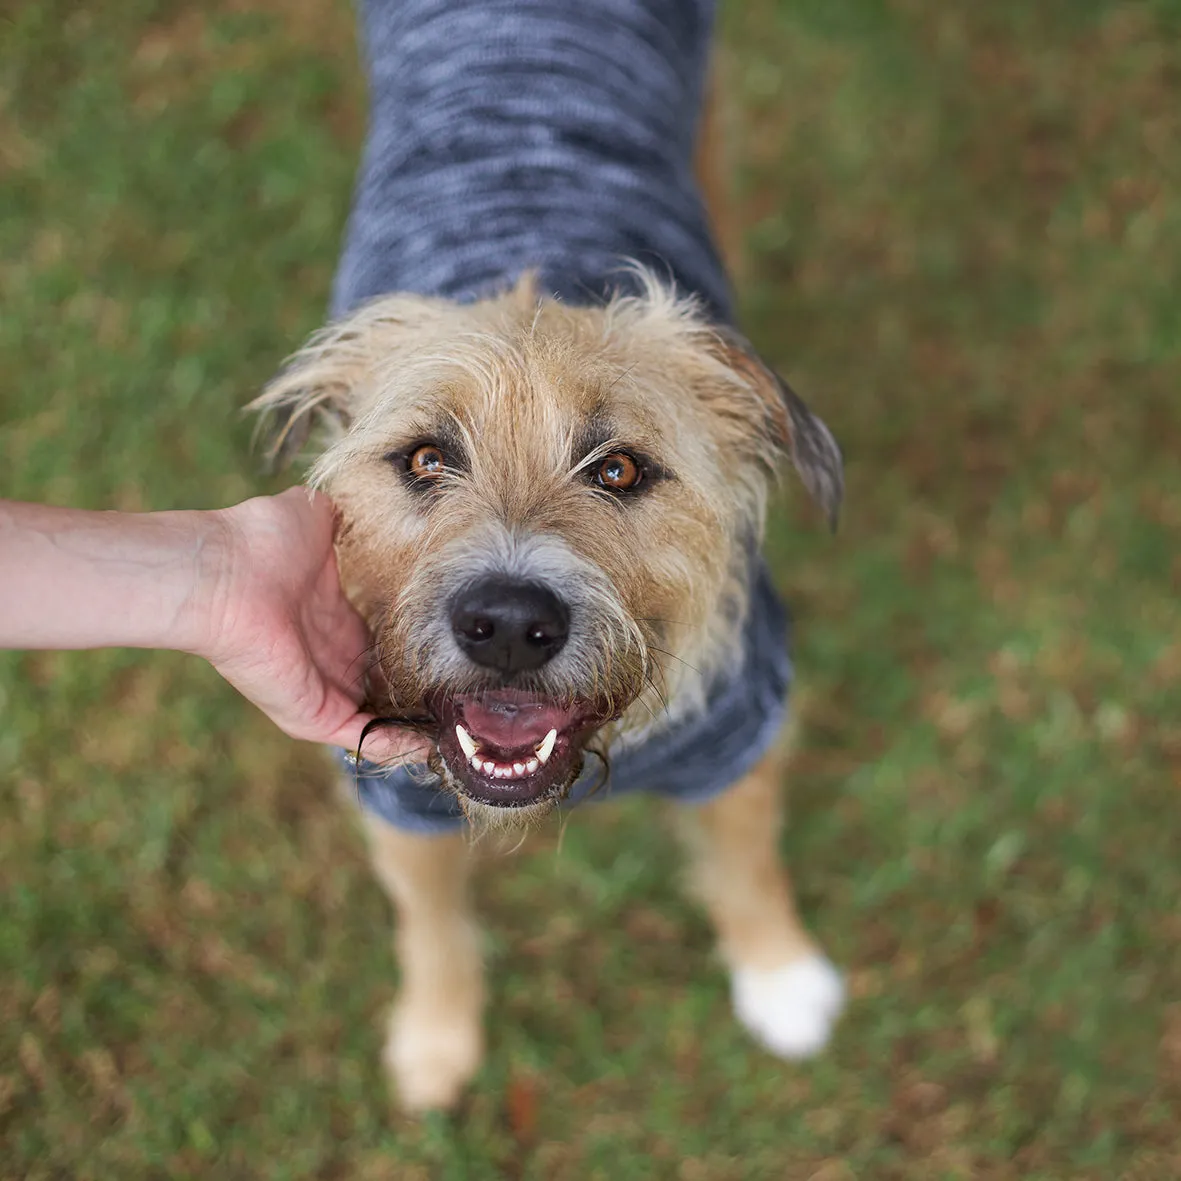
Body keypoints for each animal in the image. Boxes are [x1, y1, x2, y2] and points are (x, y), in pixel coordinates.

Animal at [253, 0, 850, 1110]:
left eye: (618, 468)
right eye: (426, 457)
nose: (507, 624)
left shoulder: (740, 731)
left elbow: (747, 857)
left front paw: (779, 974)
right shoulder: (393, 790)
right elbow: (427, 918)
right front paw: (434, 1037)